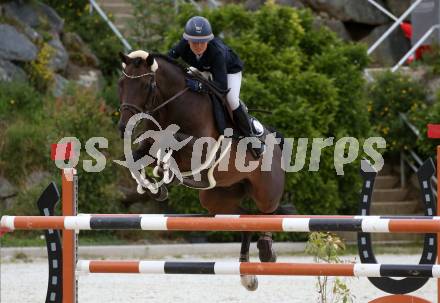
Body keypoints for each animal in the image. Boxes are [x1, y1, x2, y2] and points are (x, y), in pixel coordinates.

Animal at [118, 50, 288, 292]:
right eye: (121, 84)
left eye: (145, 85)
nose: (123, 127)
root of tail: (275, 139)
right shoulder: (149, 142)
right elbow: (134, 157)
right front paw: (154, 188)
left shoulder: (203, 148)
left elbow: (172, 141)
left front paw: (164, 175)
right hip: (216, 198)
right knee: (245, 220)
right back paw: (247, 276)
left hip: (266, 191)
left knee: (266, 213)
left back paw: (266, 251)